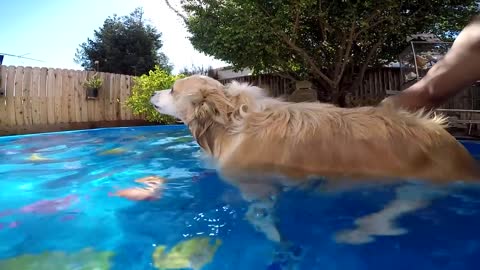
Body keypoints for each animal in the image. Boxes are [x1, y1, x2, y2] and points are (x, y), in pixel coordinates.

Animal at [151, 75, 480, 243]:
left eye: (172, 89)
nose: (151, 93)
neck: (231, 118)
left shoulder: (256, 186)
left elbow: (258, 215)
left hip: (418, 187)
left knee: (393, 214)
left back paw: (359, 230)